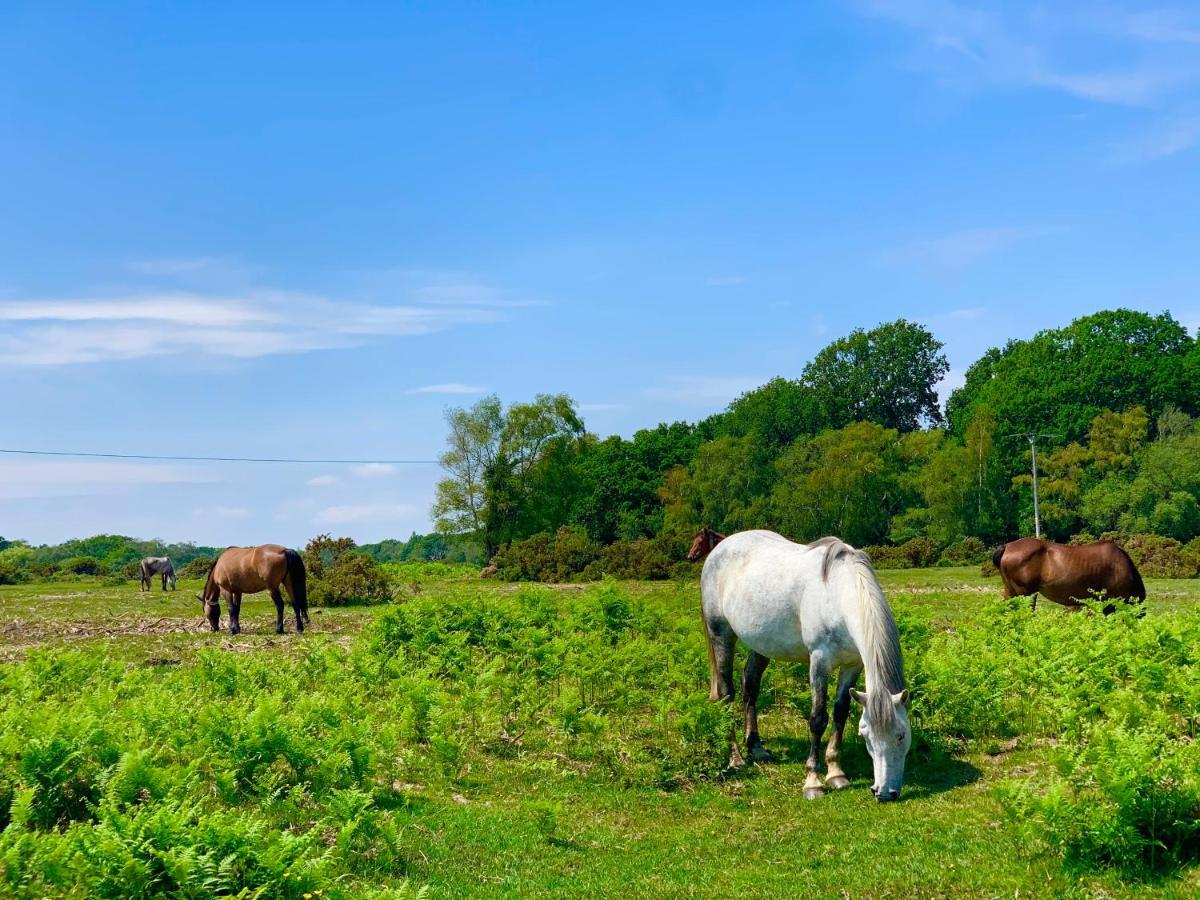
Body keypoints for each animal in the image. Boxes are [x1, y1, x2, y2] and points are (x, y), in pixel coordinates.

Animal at [700, 532, 907, 801]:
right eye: (866, 736)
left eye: (901, 735)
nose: (884, 792)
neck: (837, 594)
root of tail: (720, 548)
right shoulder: (819, 662)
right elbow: (818, 719)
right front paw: (813, 782)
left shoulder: (852, 665)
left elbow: (840, 712)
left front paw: (836, 773)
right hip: (721, 635)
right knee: (726, 694)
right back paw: (735, 758)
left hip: (761, 644)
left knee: (751, 687)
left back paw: (756, 748)